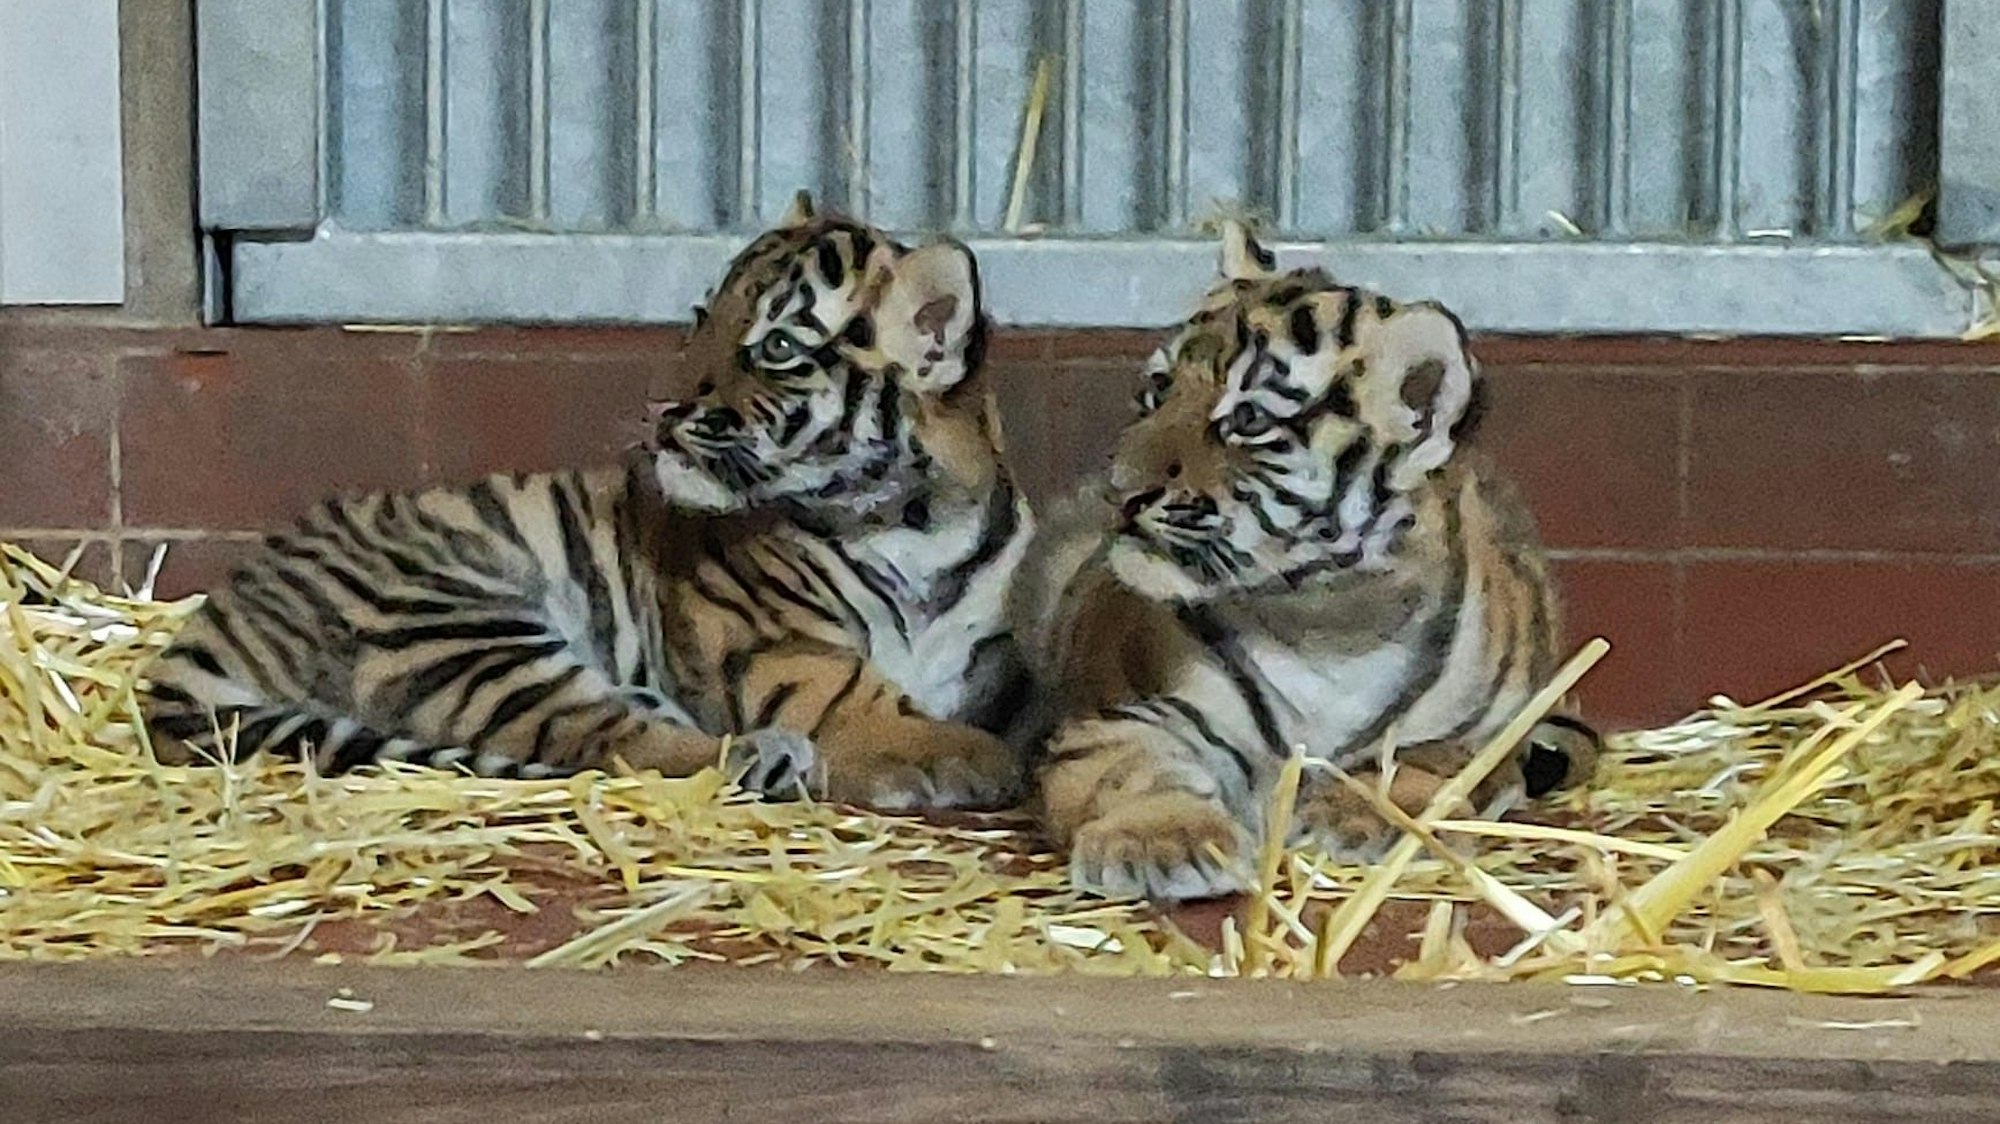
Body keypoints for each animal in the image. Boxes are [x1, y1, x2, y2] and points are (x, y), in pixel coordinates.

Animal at [142, 193, 1033, 812]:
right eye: (703, 318)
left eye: (777, 346)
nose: (664, 411)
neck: (913, 525)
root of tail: (224, 607)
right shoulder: (779, 644)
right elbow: (863, 695)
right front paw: (962, 756)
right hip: (458, 626)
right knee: (609, 736)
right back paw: (761, 756)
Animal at [1017, 222, 1600, 901]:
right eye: (1157, 391)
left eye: (1248, 419)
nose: (1120, 491)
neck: (1326, 624)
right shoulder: (1108, 722)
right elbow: (1133, 771)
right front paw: (1157, 841)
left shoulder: (1482, 740)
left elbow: (1424, 762)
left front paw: (1363, 817)